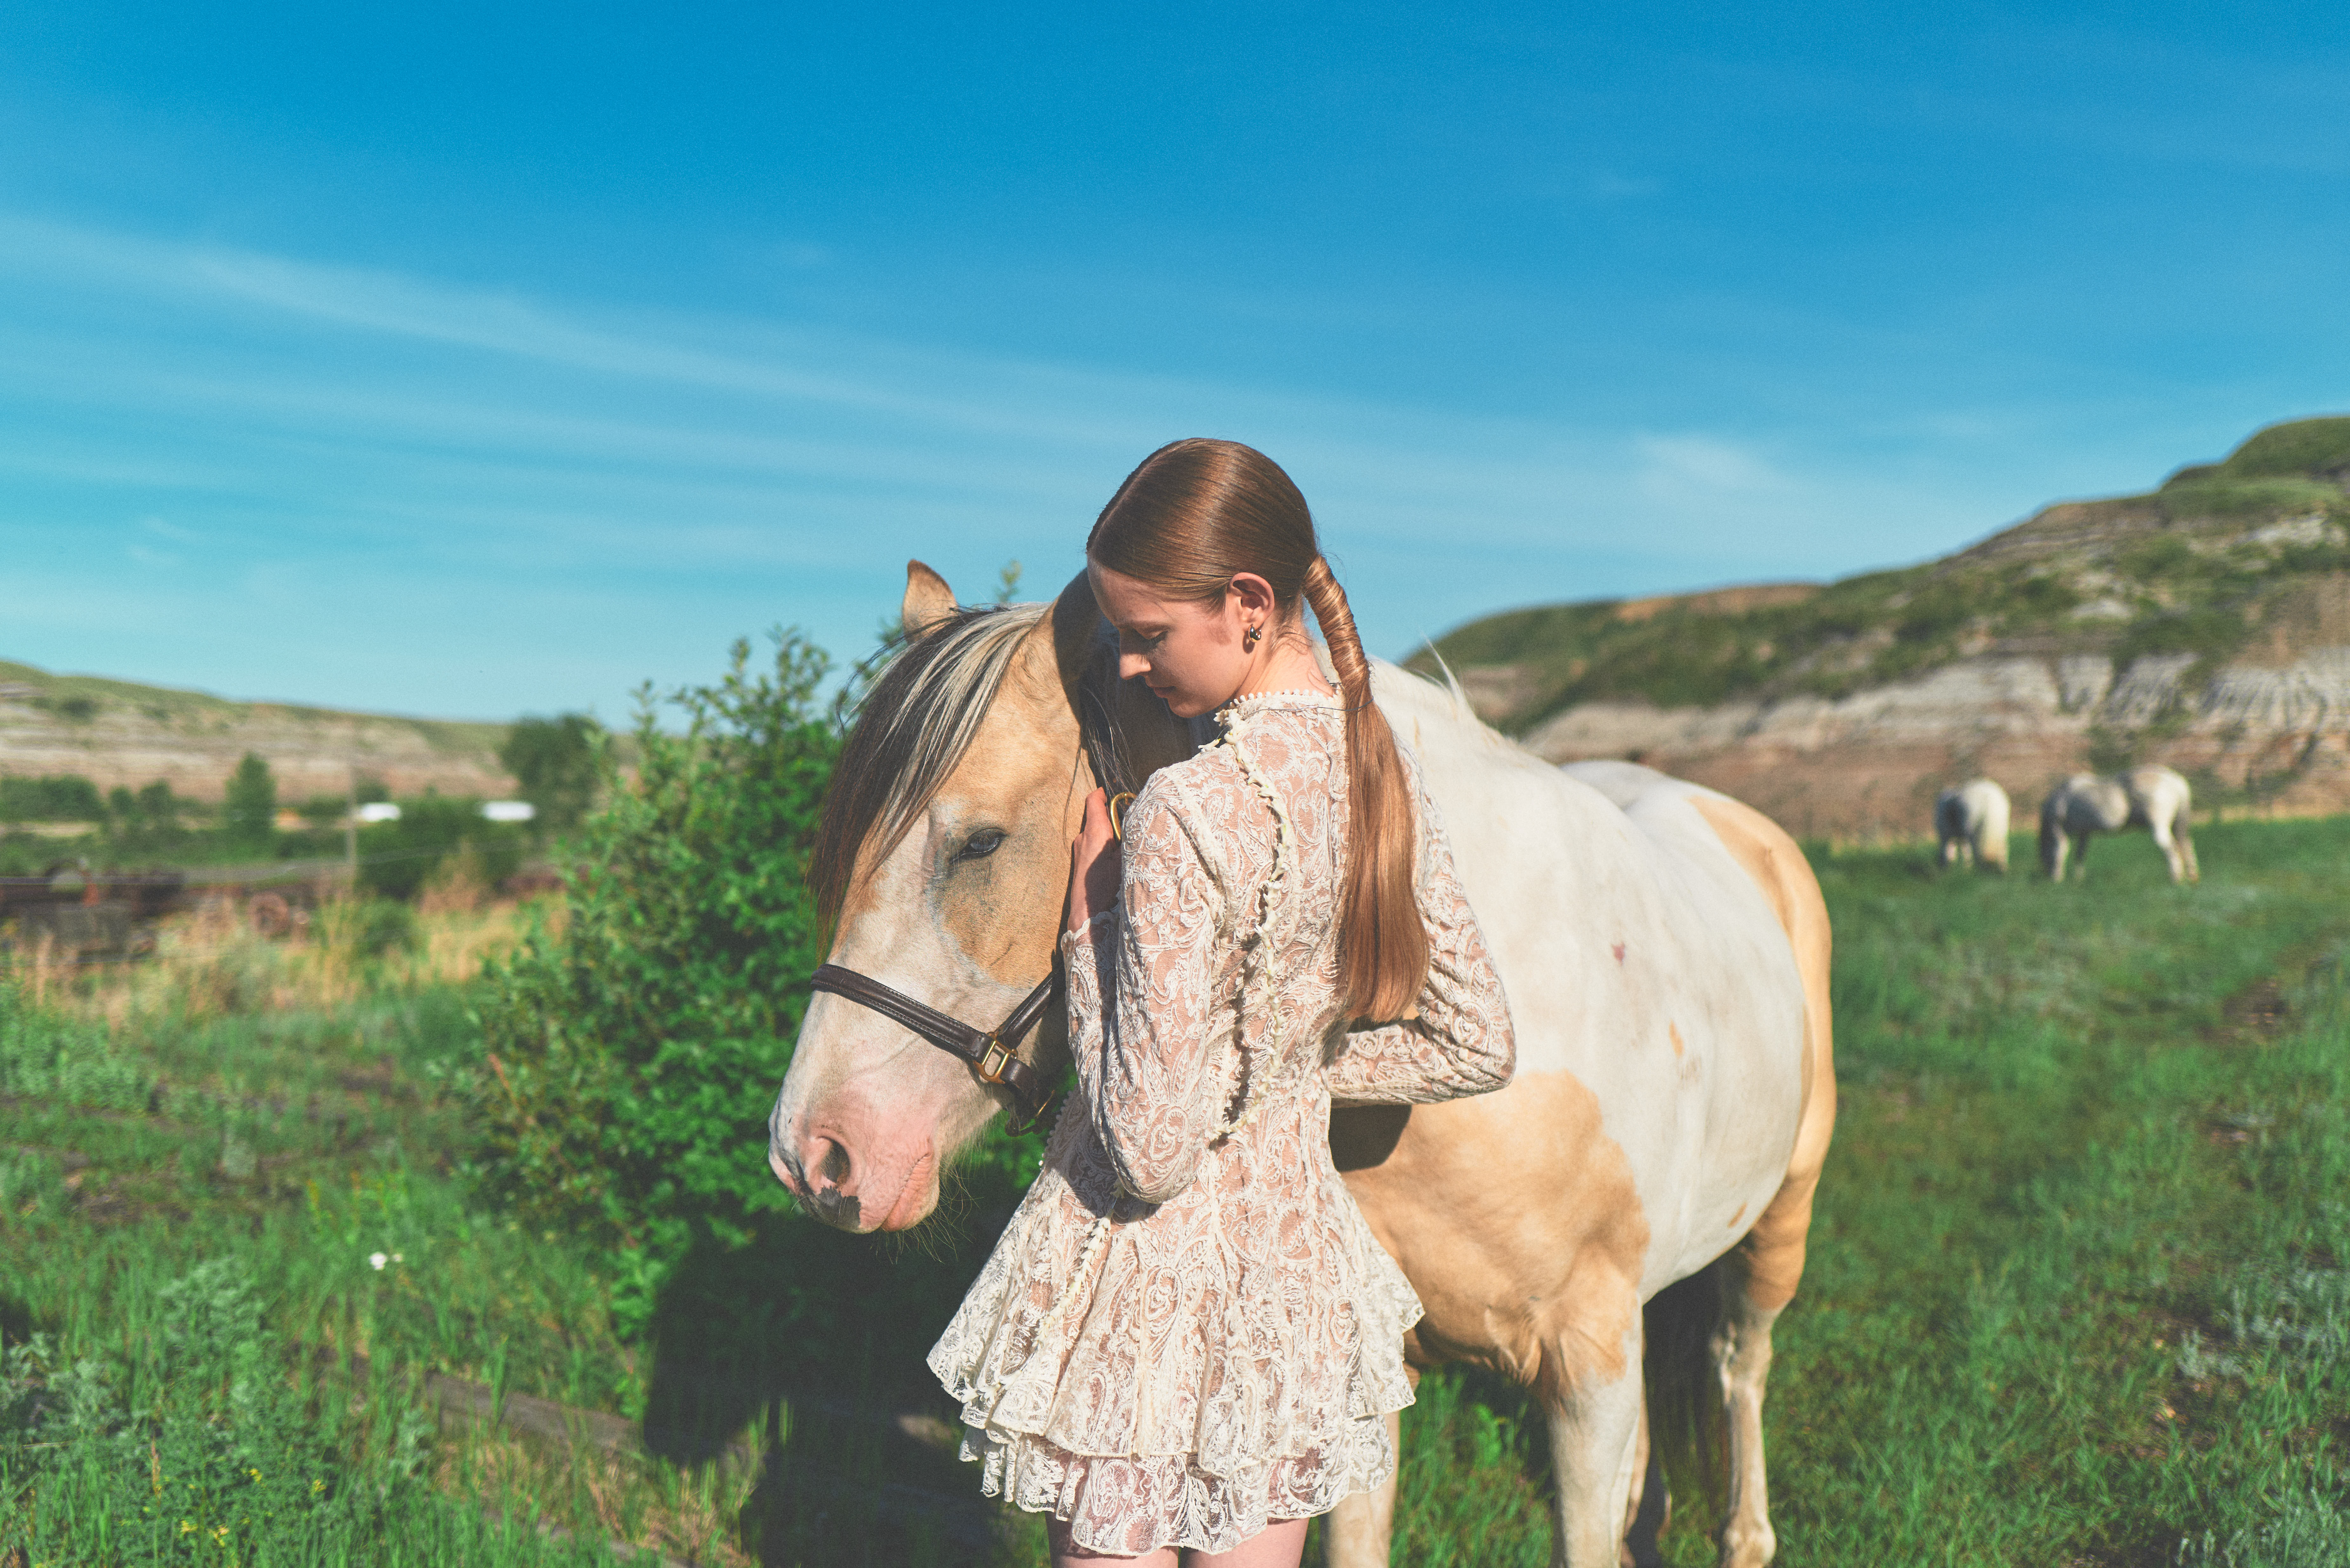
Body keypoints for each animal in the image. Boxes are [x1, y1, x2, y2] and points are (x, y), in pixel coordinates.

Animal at [1934, 778, 2011, 874]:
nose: (1941, 868)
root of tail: (1989, 799)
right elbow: (1965, 852)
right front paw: (1967, 869)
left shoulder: (1946, 834)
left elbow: (1953, 853)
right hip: (2000, 831)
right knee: (2003, 849)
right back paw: (2004, 871)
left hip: (1971, 831)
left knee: (1977, 851)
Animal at [2039, 767, 2199, 883]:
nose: (2047, 876)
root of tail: (2174, 781)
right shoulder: (2085, 833)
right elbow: (2080, 854)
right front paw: (2078, 880)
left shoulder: (2058, 830)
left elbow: (2060, 852)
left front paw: (2058, 880)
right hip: (2178, 827)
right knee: (2186, 846)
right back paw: (2192, 877)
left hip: (2159, 827)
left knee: (2171, 849)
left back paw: (2175, 879)